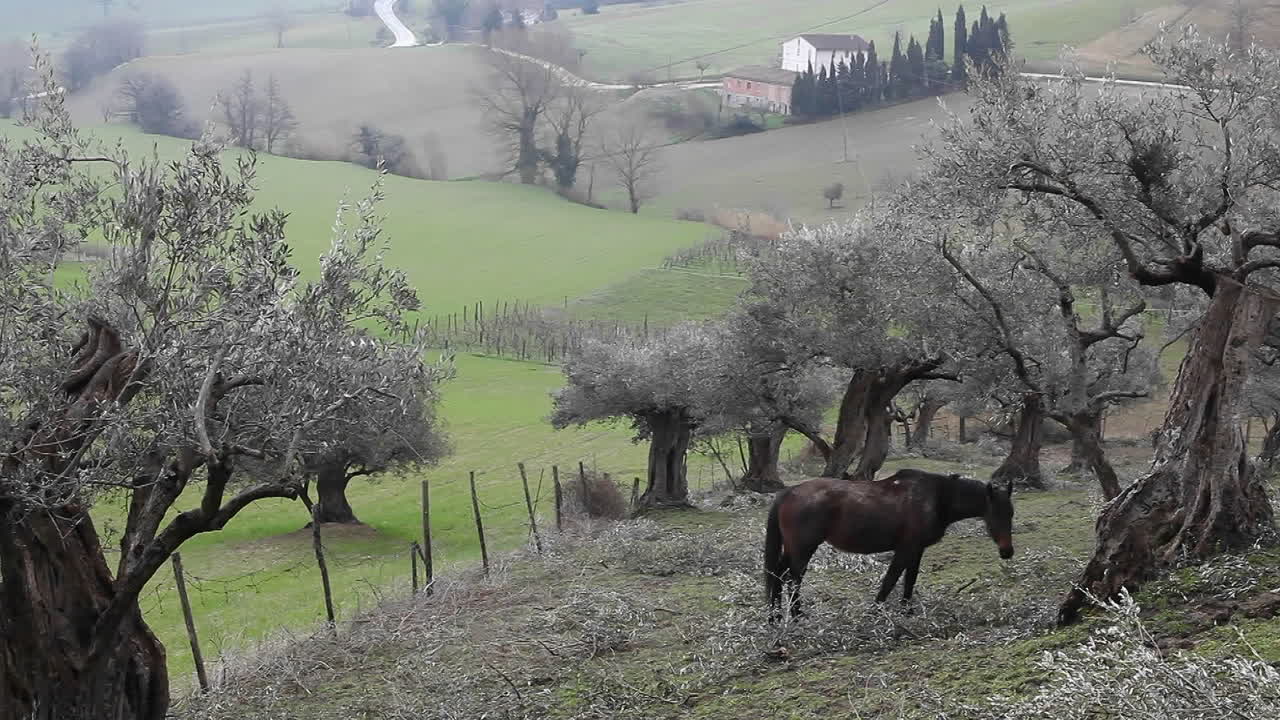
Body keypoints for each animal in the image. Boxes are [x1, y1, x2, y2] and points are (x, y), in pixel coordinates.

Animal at [764, 470, 1015, 618]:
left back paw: (775, 616)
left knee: (778, 574)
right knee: (793, 578)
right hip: (803, 549)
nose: (1007, 551)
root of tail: (788, 492)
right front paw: (877, 612)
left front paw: (907, 611)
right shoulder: (906, 548)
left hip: (793, 549)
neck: (937, 498)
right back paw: (796, 615)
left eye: (1011, 514)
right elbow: (890, 580)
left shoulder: (916, 550)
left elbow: (909, 580)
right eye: (995, 515)